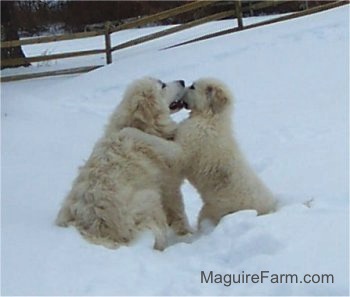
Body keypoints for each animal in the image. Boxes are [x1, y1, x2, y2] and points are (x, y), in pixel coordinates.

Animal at [56, 77, 190, 249]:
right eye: (162, 85)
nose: (182, 81)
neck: (141, 127)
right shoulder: (169, 187)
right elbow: (180, 214)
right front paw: (188, 235)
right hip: (150, 198)